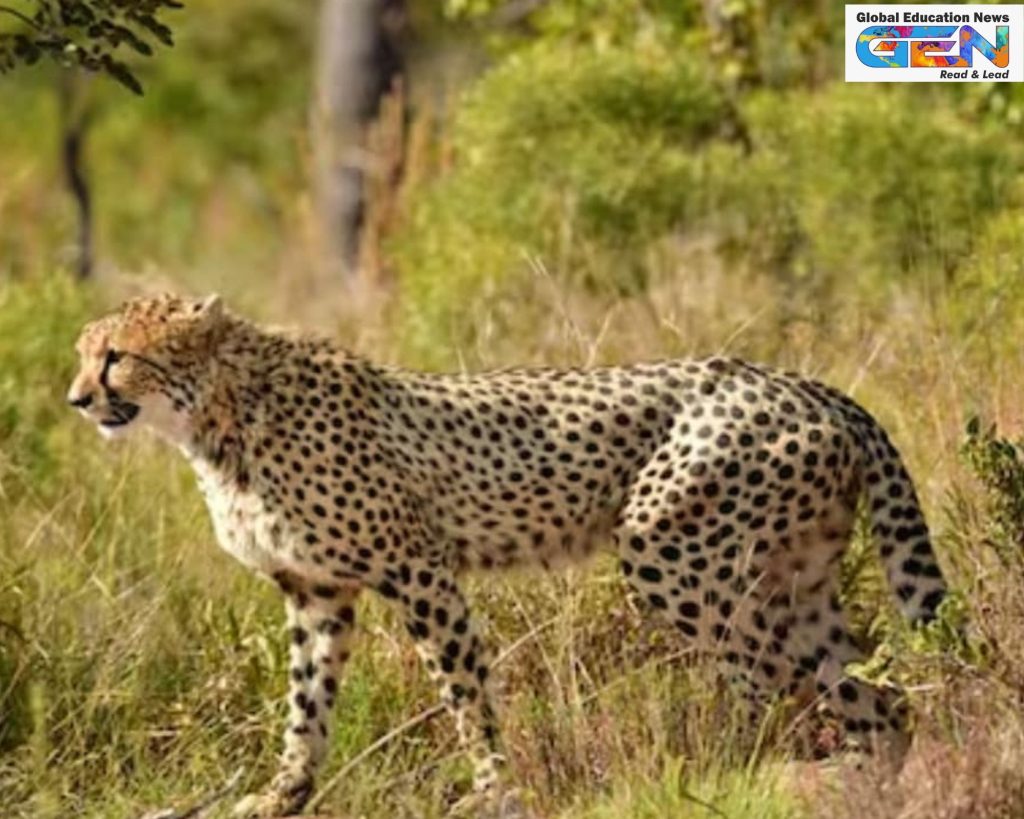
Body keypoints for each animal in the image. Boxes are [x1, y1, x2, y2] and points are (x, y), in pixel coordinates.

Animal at [67, 293, 947, 817]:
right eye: (83, 354)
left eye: (116, 356)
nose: (77, 398)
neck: (220, 416)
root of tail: (802, 381)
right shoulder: (316, 592)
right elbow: (305, 706)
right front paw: (283, 795)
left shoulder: (420, 569)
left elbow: (464, 694)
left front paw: (493, 787)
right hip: (792, 577)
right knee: (874, 696)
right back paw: (859, 779)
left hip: (671, 551)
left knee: (777, 682)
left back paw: (734, 777)